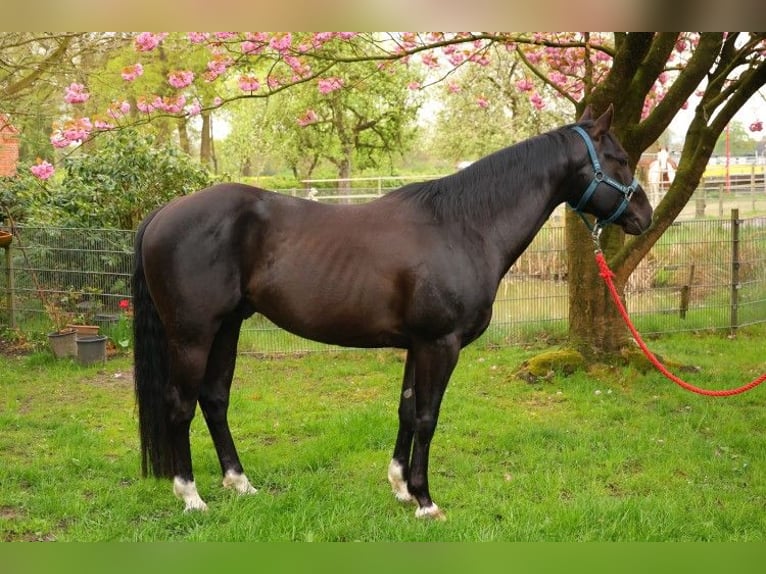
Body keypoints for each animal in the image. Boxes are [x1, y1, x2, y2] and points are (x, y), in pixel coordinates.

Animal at [132, 105, 653, 520]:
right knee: (180, 404)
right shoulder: (440, 344)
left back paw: (240, 483)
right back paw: (191, 497)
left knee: (215, 399)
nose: (644, 216)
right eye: (620, 159)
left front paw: (401, 487)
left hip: (228, 328)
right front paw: (425, 500)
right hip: (193, 334)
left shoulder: (416, 345)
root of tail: (163, 212)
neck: (464, 226)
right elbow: (427, 417)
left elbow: (405, 411)